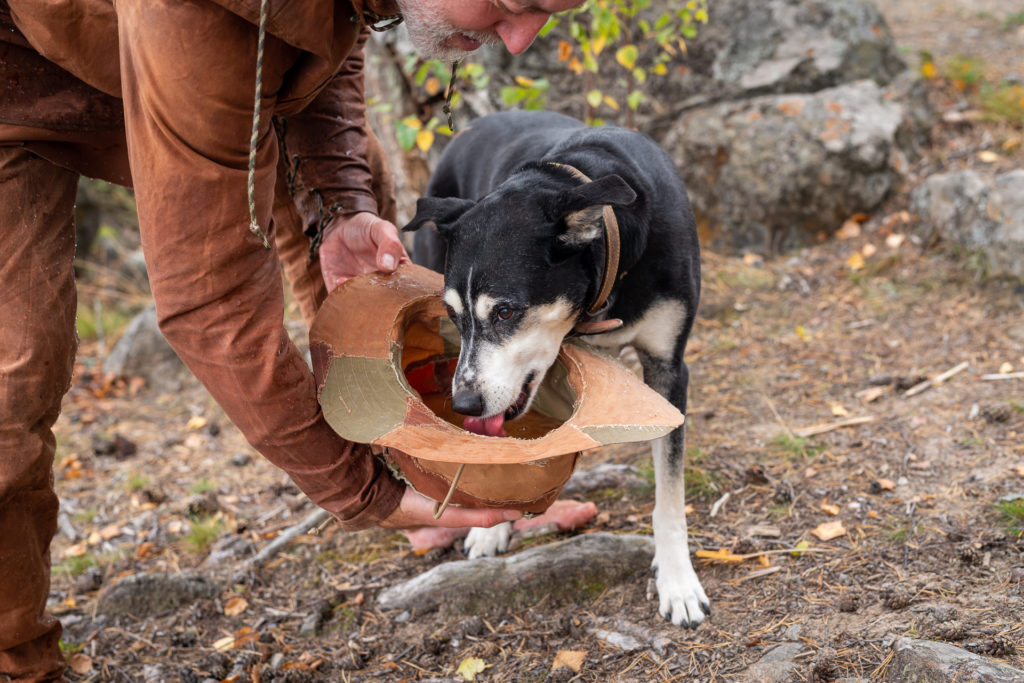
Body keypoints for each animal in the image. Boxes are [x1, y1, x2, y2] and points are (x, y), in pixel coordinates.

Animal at [403, 109, 708, 626]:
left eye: (506, 311)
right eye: (453, 315)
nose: (463, 402)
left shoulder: (668, 368)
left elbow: (669, 493)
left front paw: (678, 581)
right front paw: (492, 524)